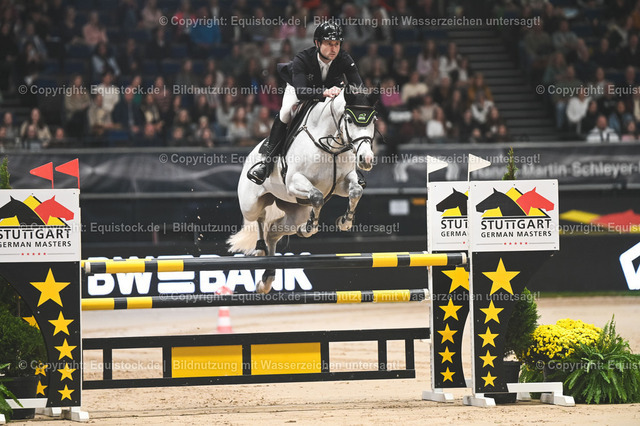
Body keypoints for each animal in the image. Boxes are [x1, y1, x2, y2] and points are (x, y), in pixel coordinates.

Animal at [228, 87, 378, 293]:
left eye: (374, 120)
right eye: (349, 119)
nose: (366, 159)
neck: (331, 147)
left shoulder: (342, 182)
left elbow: (355, 191)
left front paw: (345, 222)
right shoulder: (294, 182)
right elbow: (317, 196)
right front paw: (311, 227)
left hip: (295, 212)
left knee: (273, 232)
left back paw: (267, 279)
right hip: (251, 204)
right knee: (260, 217)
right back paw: (260, 248)